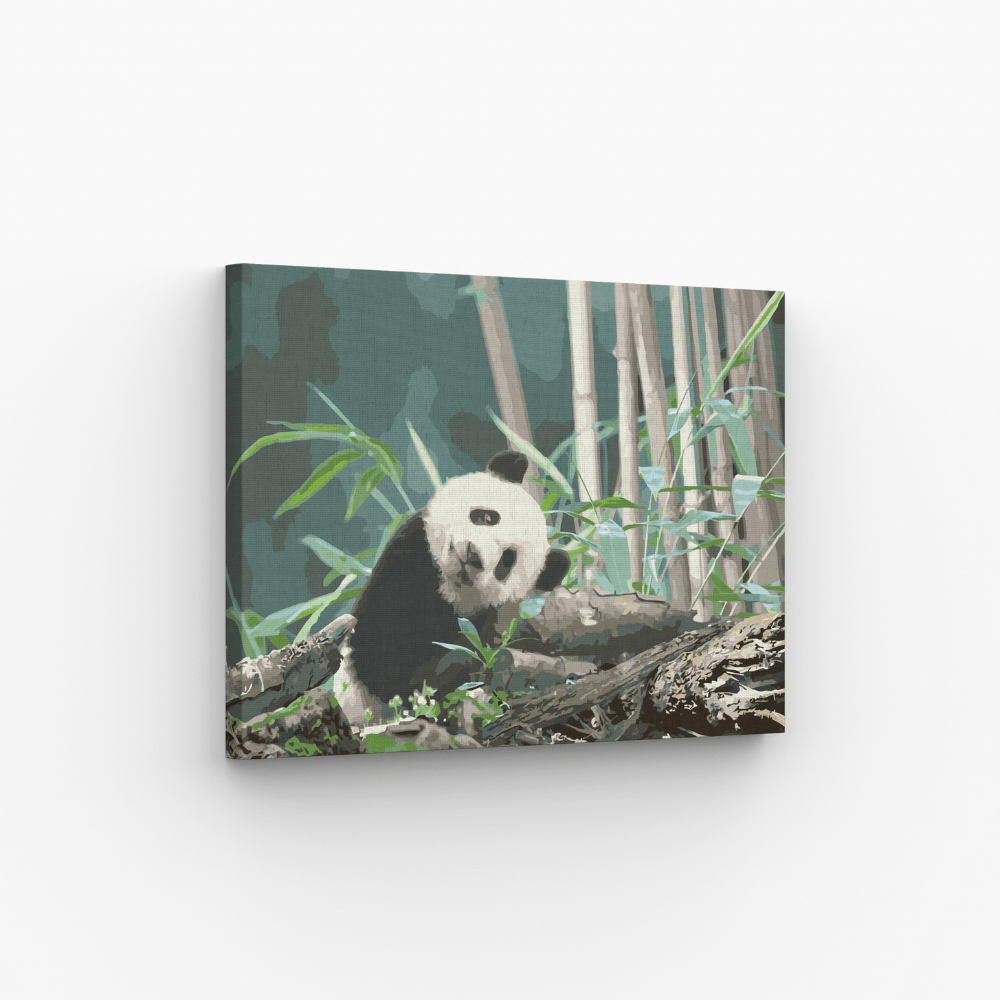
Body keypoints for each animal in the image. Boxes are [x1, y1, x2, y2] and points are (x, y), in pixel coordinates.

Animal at [343, 450, 570, 711]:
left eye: (507, 560)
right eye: (487, 517)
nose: (473, 555)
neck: (445, 586)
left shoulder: (481, 617)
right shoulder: (404, 558)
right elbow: (378, 660)